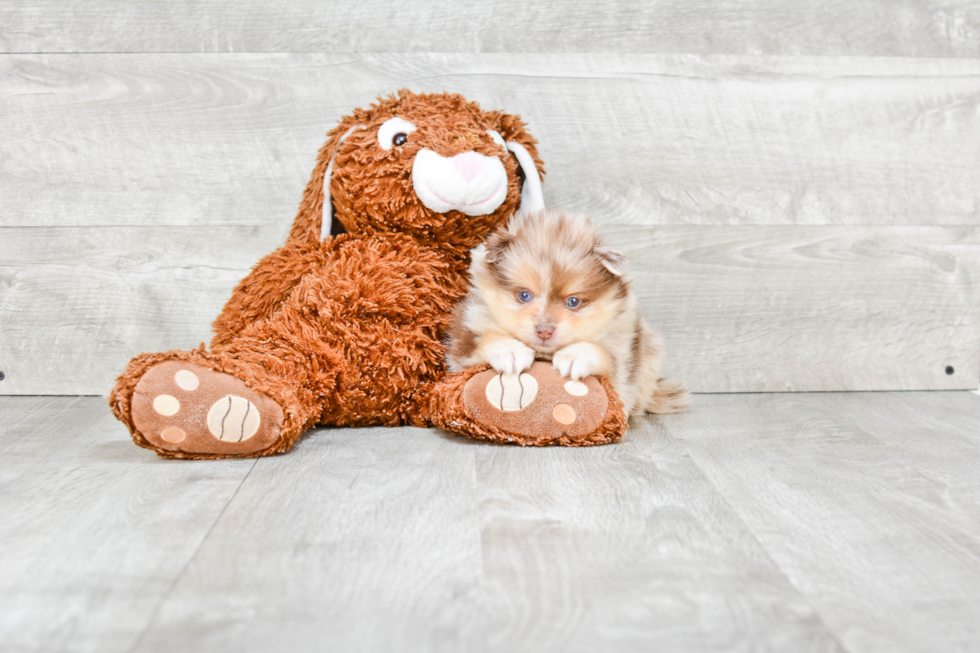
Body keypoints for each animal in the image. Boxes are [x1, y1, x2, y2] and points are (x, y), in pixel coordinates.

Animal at [446, 209, 688, 418]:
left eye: (573, 301)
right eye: (524, 295)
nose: (544, 331)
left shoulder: (622, 363)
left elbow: (605, 356)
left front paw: (576, 356)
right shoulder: (465, 333)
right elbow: (480, 340)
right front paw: (509, 350)